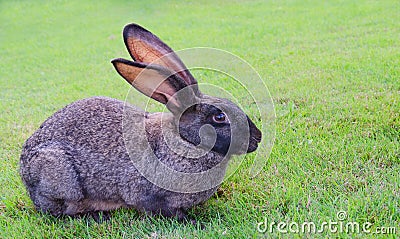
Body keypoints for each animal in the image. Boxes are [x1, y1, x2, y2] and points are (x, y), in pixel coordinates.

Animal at [19, 23, 262, 221]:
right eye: (219, 117)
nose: (258, 138)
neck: (186, 142)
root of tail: (25, 172)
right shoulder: (148, 195)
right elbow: (165, 211)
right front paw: (195, 222)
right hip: (60, 176)